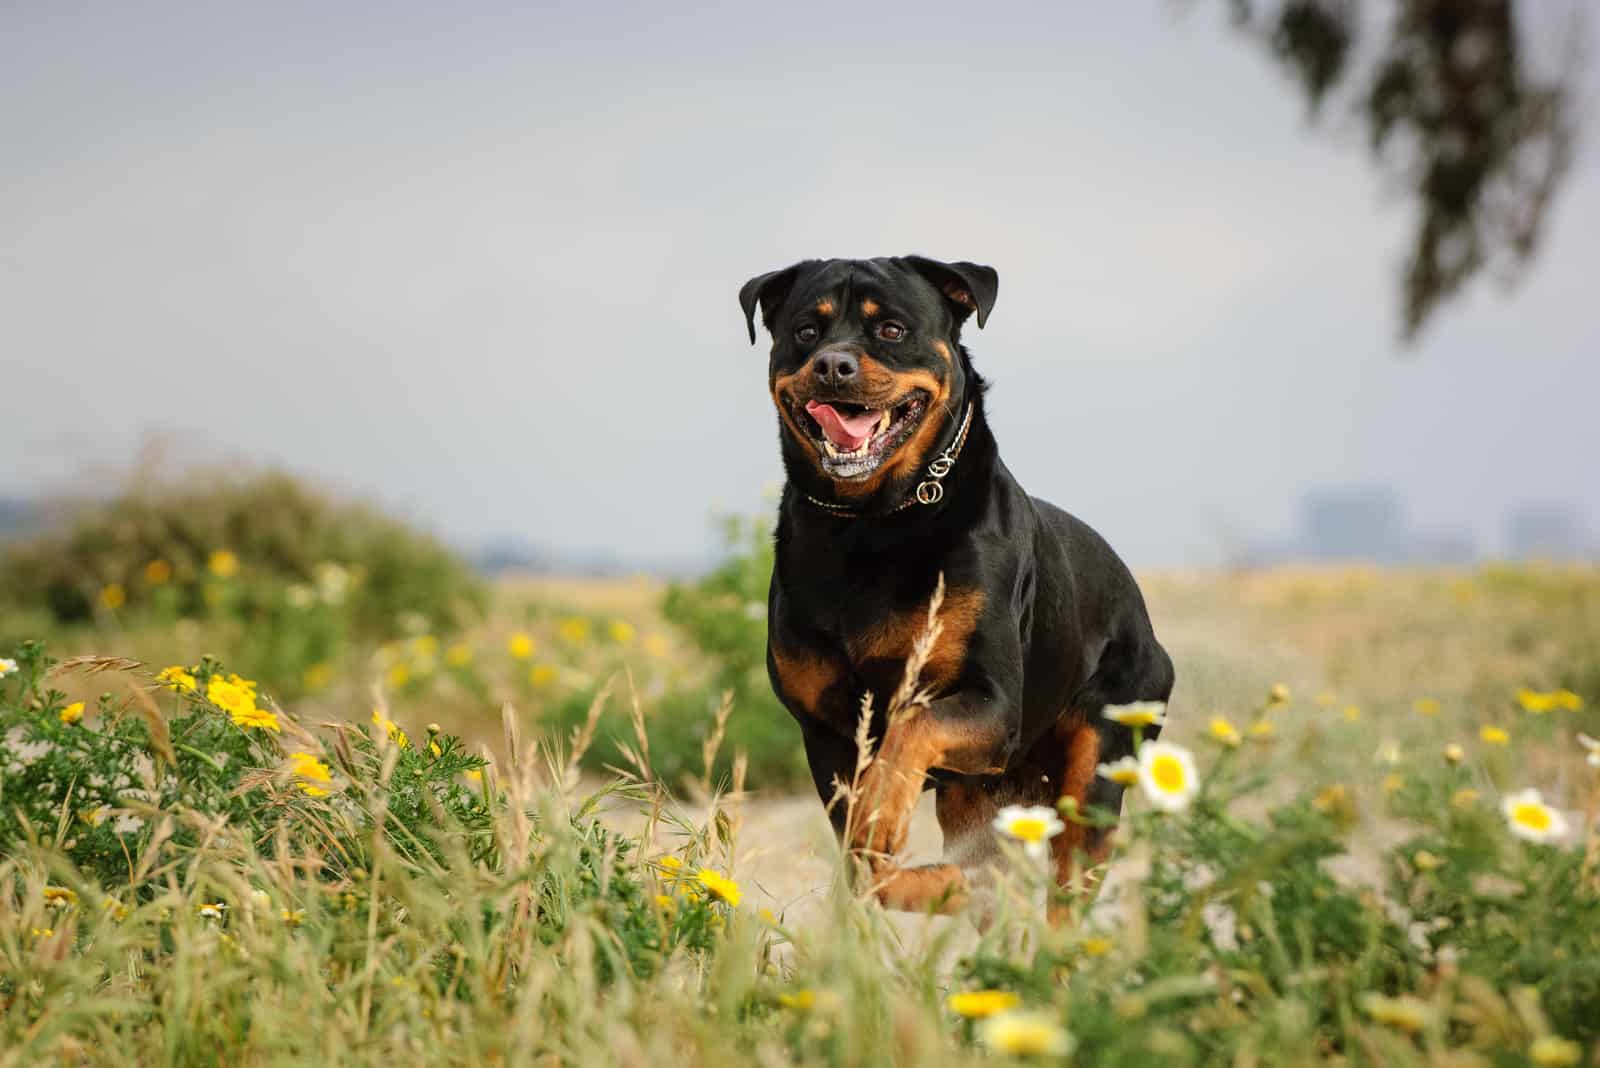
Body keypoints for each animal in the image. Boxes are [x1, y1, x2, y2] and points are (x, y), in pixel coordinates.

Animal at [739, 255, 1177, 908]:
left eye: (892, 330)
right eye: (806, 332)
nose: (833, 365)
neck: (873, 523)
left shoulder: (991, 704)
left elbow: (914, 728)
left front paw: (896, 827)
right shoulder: (826, 738)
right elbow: (866, 863)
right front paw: (934, 879)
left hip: (1098, 760)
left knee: (1068, 886)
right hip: (976, 792)